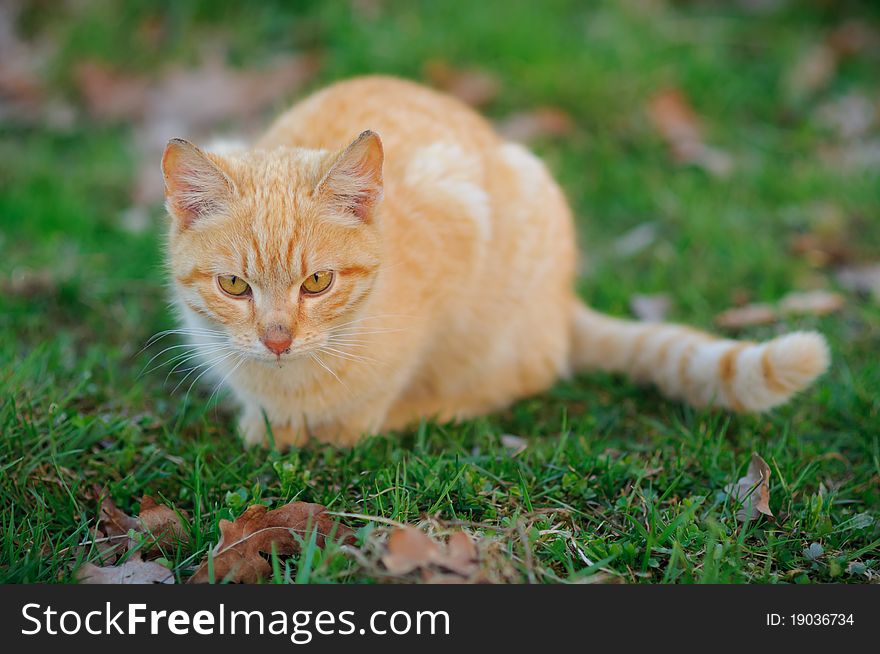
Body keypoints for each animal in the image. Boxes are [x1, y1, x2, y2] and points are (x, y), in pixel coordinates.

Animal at [162, 74, 828, 448]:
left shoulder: (459, 223)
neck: (289, 384)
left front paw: (344, 427)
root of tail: (561, 301)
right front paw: (266, 427)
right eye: (234, 285)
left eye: (318, 282)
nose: (276, 340)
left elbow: (375, 400)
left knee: (521, 376)